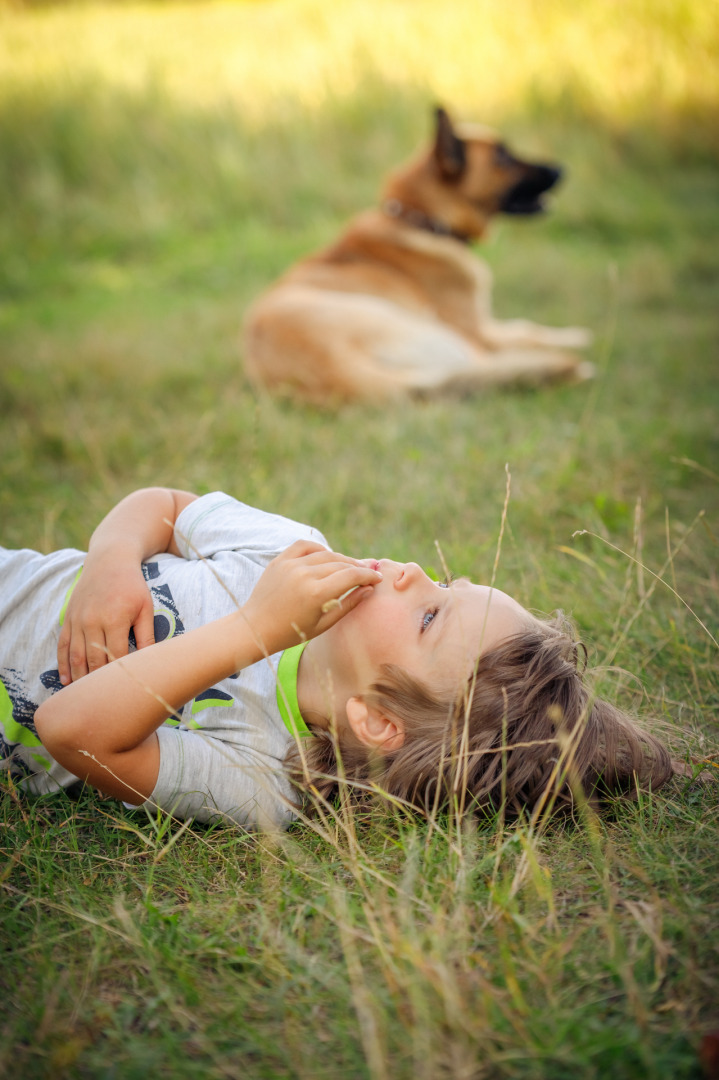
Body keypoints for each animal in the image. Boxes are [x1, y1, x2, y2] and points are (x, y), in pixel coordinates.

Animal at [243, 106, 591, 406]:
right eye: (502, 156)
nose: (562, 169)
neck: (421, 220)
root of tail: (335, 371)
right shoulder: (478, 329)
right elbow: (525, 334)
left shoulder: (488, 323)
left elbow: (527, 325)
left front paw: (575, 334)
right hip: (434, 331)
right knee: (489, 363)